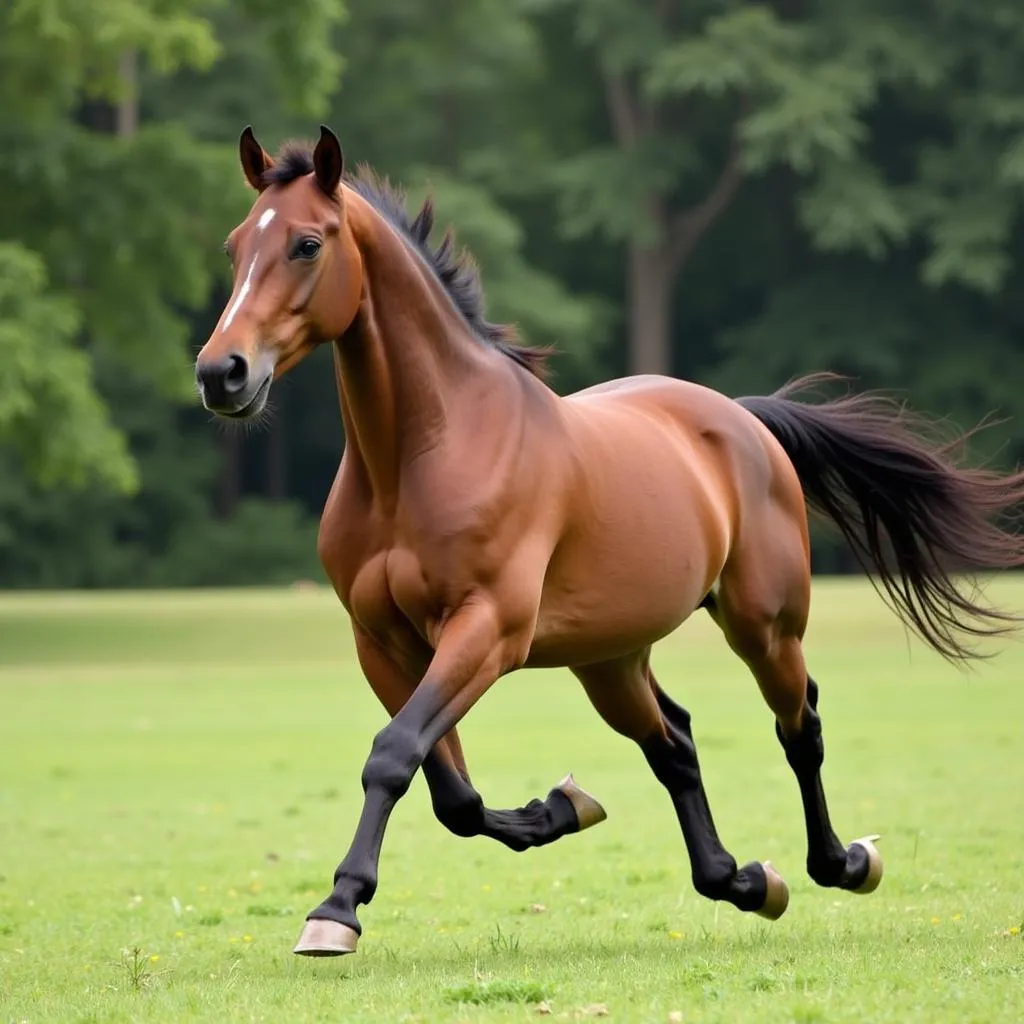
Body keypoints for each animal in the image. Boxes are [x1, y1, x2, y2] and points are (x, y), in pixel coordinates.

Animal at [195, 123, 1024, 954]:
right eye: (235, 246)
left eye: (307, 244)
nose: (220, 373)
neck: (423, 456)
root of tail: (744, 417)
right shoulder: (383, 643)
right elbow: (449, 792)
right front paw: (558, 807)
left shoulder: (487, 631)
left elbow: (395, 753)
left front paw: (336, 910)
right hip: (610, 658)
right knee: (675, 742)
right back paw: (742, 880)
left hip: (763, 627)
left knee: (801, 725)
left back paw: (841, 863)